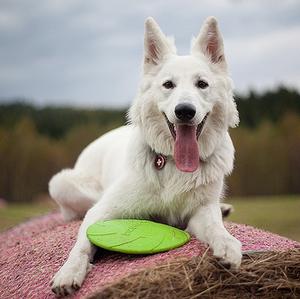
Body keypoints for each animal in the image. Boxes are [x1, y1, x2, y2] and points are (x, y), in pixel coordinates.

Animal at [49, 17, 241, 296]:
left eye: (202, 84)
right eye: (168, 84)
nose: (184, 111)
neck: (172, 163)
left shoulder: (201, 212)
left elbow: (216, 227)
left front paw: (227, 245)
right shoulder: (101, 212)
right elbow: (82, 245)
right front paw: (68, 272)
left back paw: (224, 209)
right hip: (62, 184)